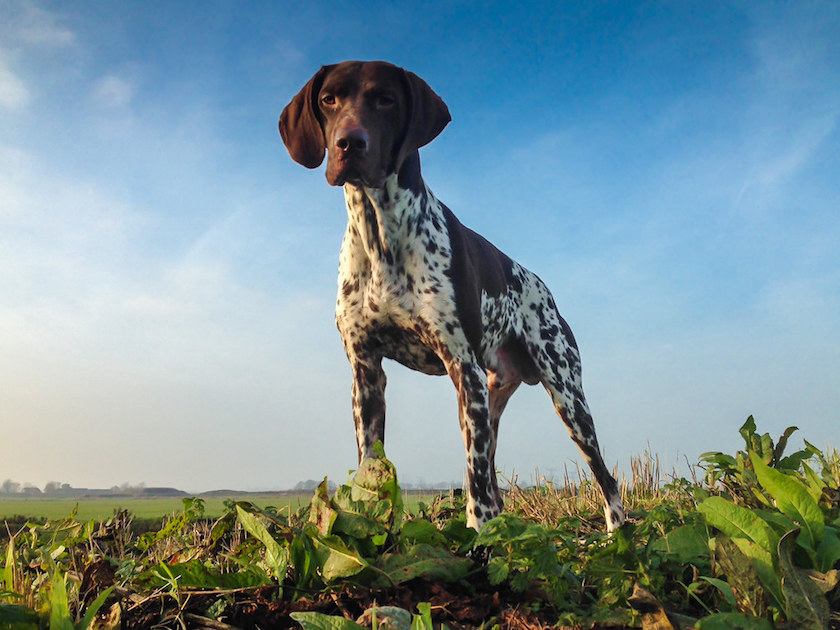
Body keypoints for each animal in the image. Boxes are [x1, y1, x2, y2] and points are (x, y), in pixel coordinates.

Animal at [278, 60, 624, 532]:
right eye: (329, 99)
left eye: (386, 99)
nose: (349, 142)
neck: (381, 235)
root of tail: (543, 287)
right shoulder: (365, 373)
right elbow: (370, 464)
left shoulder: (462, 367)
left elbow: (477, 486)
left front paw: (477, 537)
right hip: (490, 401)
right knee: (491, 474)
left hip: (563, 397)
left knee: (600, 476)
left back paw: (616, 533)